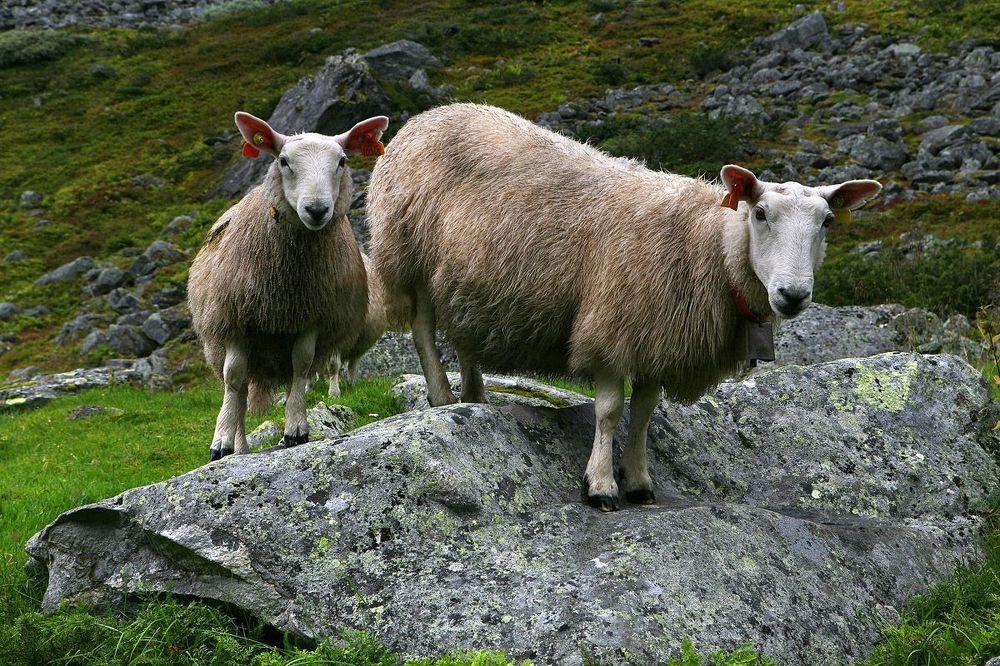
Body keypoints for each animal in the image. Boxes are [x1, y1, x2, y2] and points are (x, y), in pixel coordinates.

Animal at [367, 102, 881, 511]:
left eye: (828, 221)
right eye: (759, 214)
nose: (793, 295)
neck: (705, 247)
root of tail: (431, 114)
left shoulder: (656, 336)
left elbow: (644, 414)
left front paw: (638, 481)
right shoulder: (613, 326)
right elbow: (611, 412)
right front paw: (600, 485)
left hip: (466, 278)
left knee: (464, 332)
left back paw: (475, 397)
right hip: (408, 251)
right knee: (423, 328)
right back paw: (442, 397)